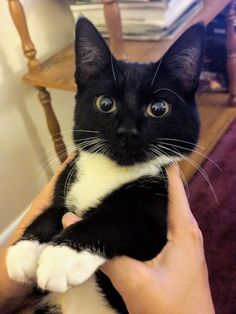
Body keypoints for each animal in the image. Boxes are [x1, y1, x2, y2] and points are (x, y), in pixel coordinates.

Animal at [5, 17, 205, 314]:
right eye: (105, 103)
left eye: (159, 108)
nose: (127, 132)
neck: (111, 170)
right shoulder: (68, 178)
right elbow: (54, 210)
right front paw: (25, 249)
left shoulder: (159, 221)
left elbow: (117, 219)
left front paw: (62, 255)